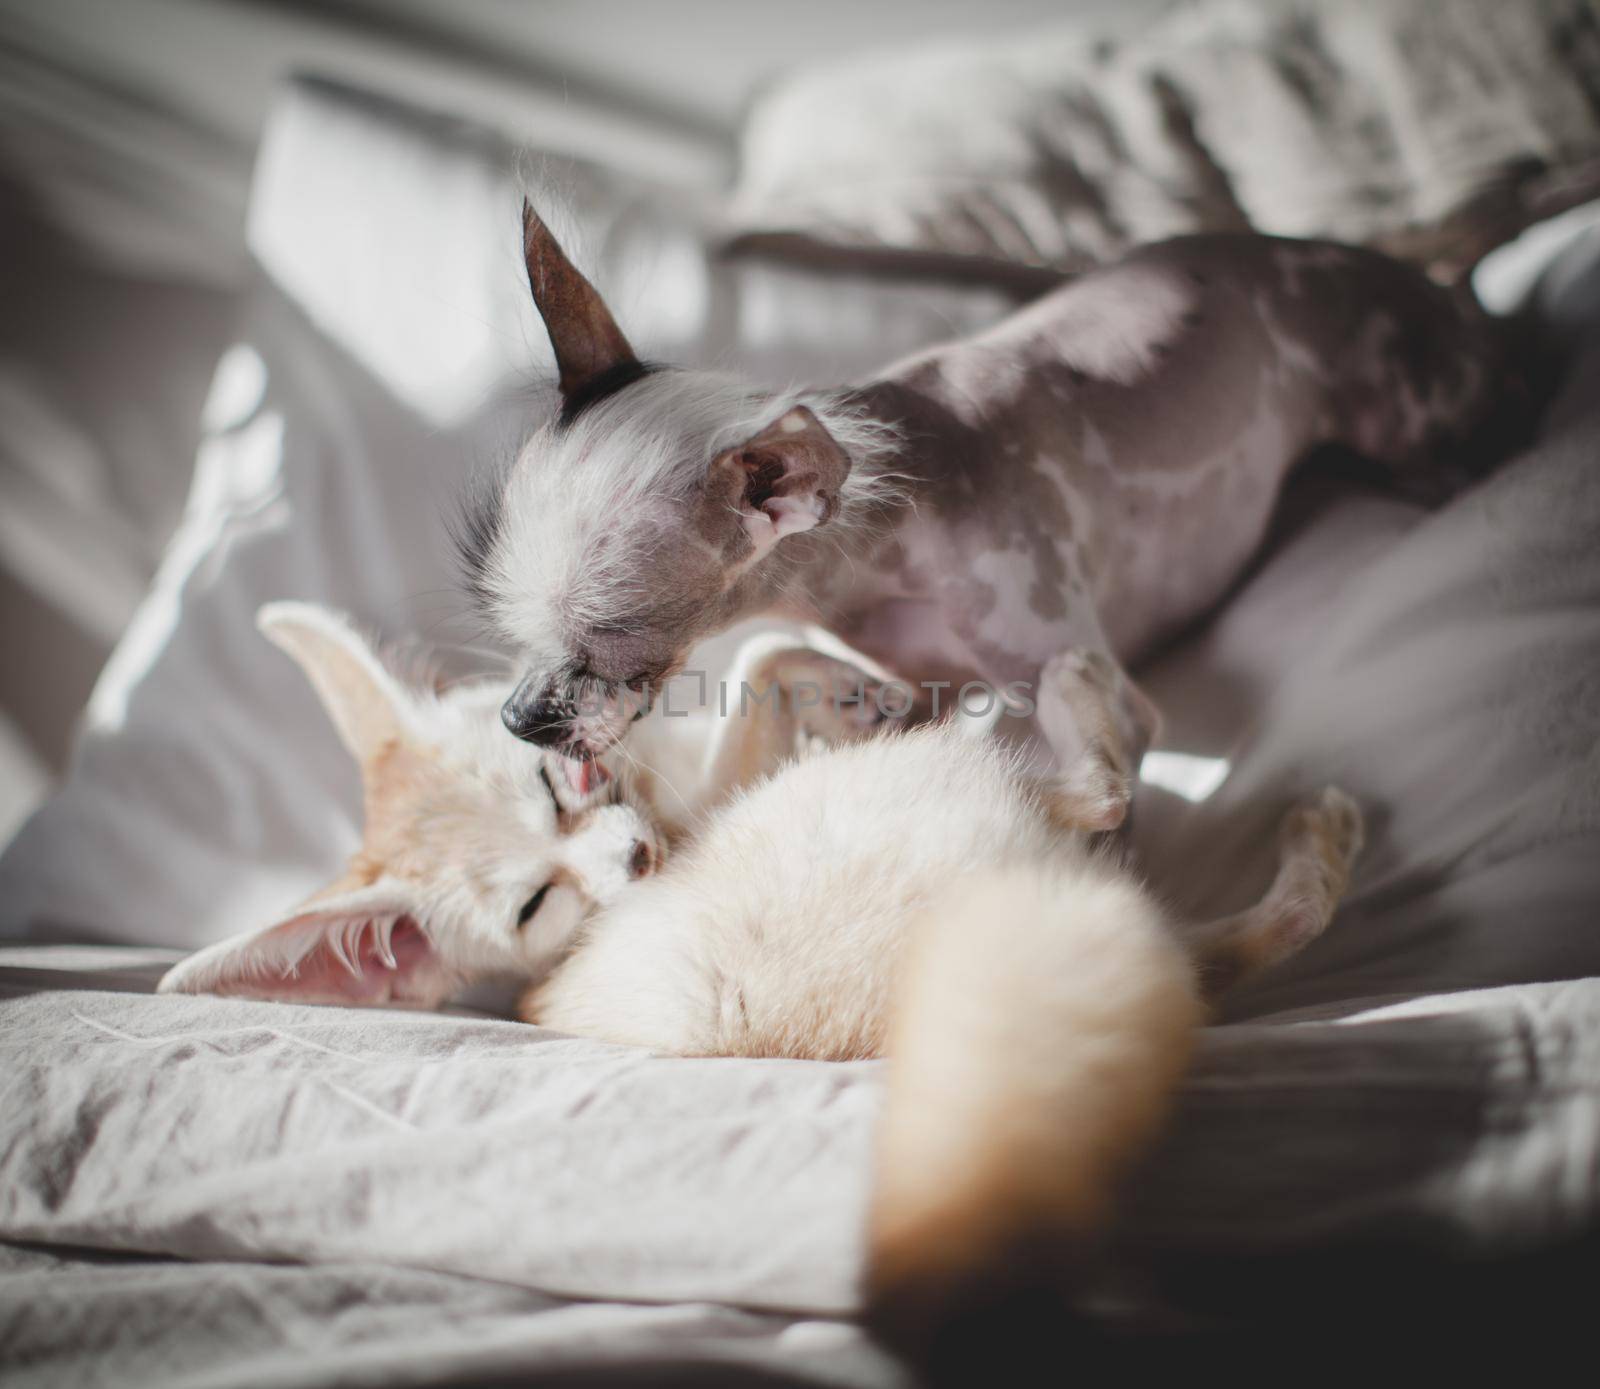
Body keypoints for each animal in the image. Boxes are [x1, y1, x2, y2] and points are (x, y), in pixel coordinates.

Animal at [162, 604, 1363, 1344]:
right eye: (535, 906)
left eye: (552, 791)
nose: (636, 863)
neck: (665, 809)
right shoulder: (713, 805)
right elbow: (754, 670)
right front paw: (861, 682)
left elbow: (763, 655)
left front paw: (847, 677)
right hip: (967, 815)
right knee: (1116, 808)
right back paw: (1098, 709)